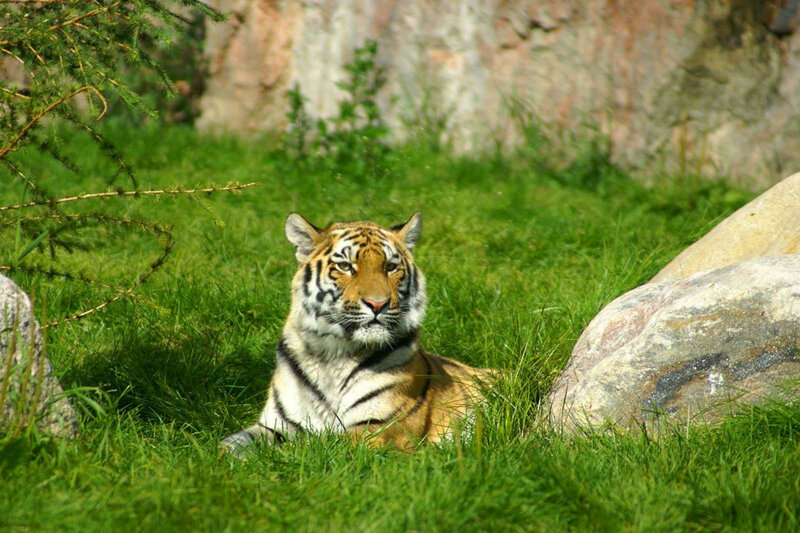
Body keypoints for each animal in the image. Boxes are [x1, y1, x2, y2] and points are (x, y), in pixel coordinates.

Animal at [221, 212, 492, 455]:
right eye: (345, 266)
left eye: (390, 267)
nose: (377, 304)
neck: (332, 355)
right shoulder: (276, 424)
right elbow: (229, 445)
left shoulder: (378, 428)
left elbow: (311, 446)